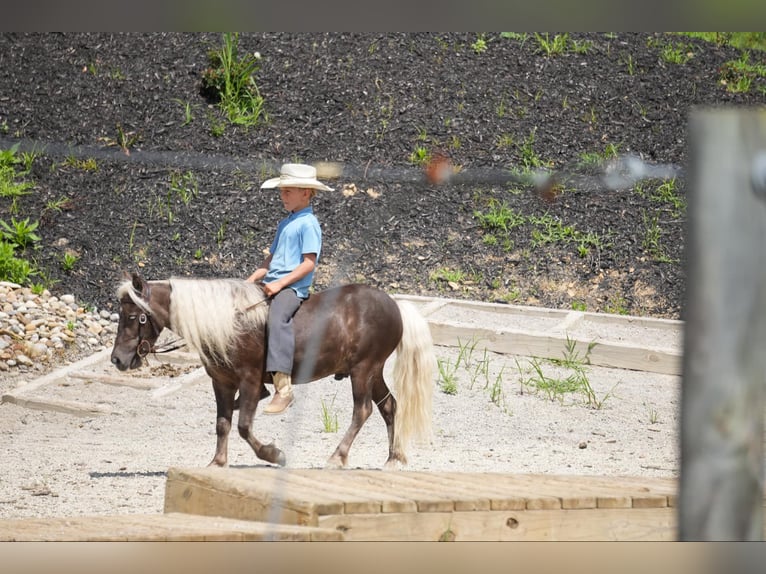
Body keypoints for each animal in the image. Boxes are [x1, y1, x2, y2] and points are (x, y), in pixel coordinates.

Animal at [109, 276, 436, 472]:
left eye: (134, 317)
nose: (117, 359)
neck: (229, 323)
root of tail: (394, 305)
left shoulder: (250, 380)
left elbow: (243, 426)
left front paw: (274, 454)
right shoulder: (222, 383)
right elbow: (223, 424)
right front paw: (218, 462)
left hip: (363, 370)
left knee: (363, 410)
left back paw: (338, 457)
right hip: (373, 371)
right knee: (389, 406)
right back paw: (394, 458)